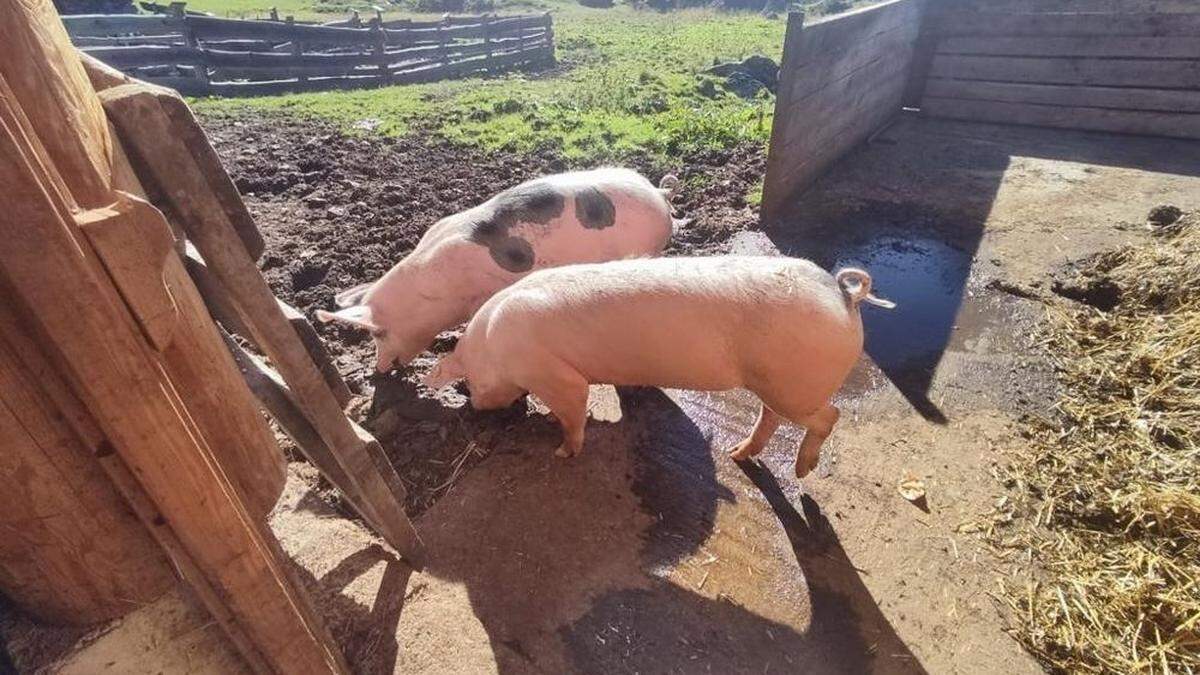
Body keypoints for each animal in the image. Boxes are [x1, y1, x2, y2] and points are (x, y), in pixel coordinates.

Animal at [422, 254, 892, 475]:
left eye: (470, 382)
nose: (478, 406)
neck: (492, 345)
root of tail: (842, 295)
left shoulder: (559, 378)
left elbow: (573, 414)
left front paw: (562, 452)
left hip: (796, 385)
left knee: (829, 415)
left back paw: (801, 469)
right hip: (774, 383)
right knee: (771, 417)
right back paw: (737, 455)